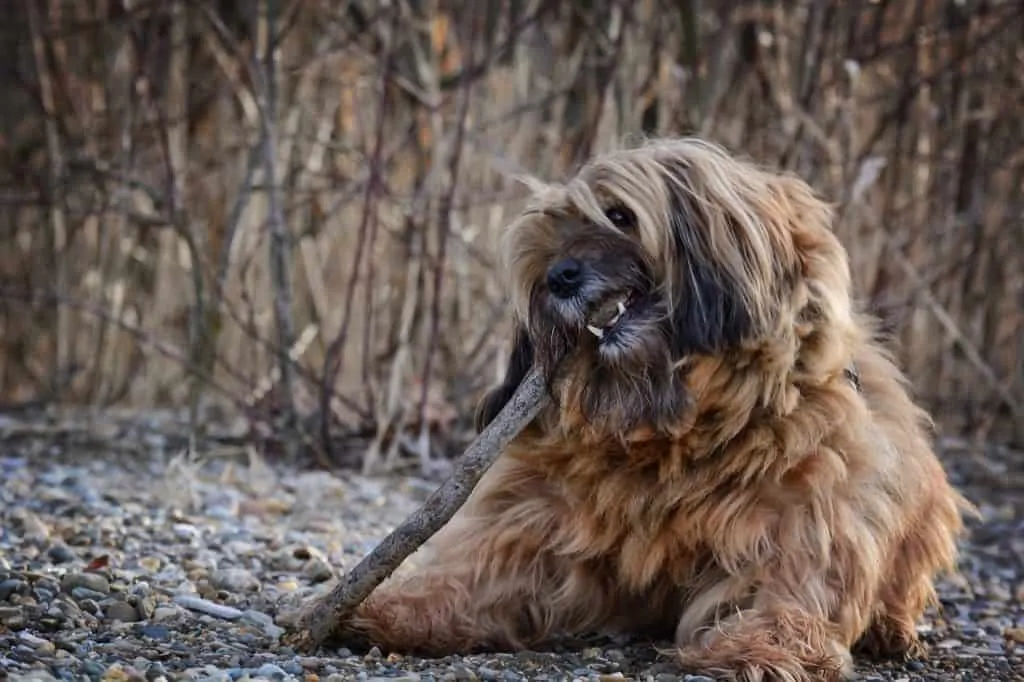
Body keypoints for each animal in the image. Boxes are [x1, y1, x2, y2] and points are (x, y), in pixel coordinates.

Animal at [339, 135, 970, 675]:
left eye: (619, 215)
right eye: (551, 235)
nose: (558, 277)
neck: (670, 430)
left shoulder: (805, 505)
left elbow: (790, 575)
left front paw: (764, 644)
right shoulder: (538, 504)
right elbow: (486, 561)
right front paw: (404, 606)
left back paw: (890, 628)